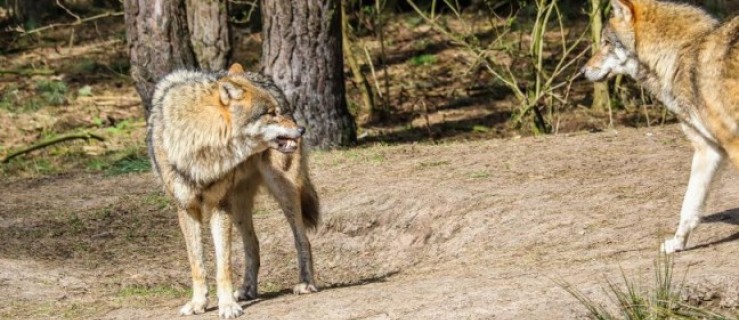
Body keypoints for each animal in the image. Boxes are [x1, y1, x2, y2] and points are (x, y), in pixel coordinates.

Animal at [147, 62, 320, 318]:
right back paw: (248, 290)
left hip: (283, 191)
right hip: (238, 206)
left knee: (303, 240)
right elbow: (196, 263)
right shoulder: (187, 209)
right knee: (253, 245)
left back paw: (306, 283)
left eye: (277, 111)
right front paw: (198, 303)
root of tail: (258, 74)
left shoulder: (220, 206)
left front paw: (227, 305)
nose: (302, 129)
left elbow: (224, 264)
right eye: (270, 113)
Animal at [584, 0, 739, 254]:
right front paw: (677, 243)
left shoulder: (732, 145)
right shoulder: (709, 150)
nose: (582, 71)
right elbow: (688, 206)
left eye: (606, 42)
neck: (684, 53)